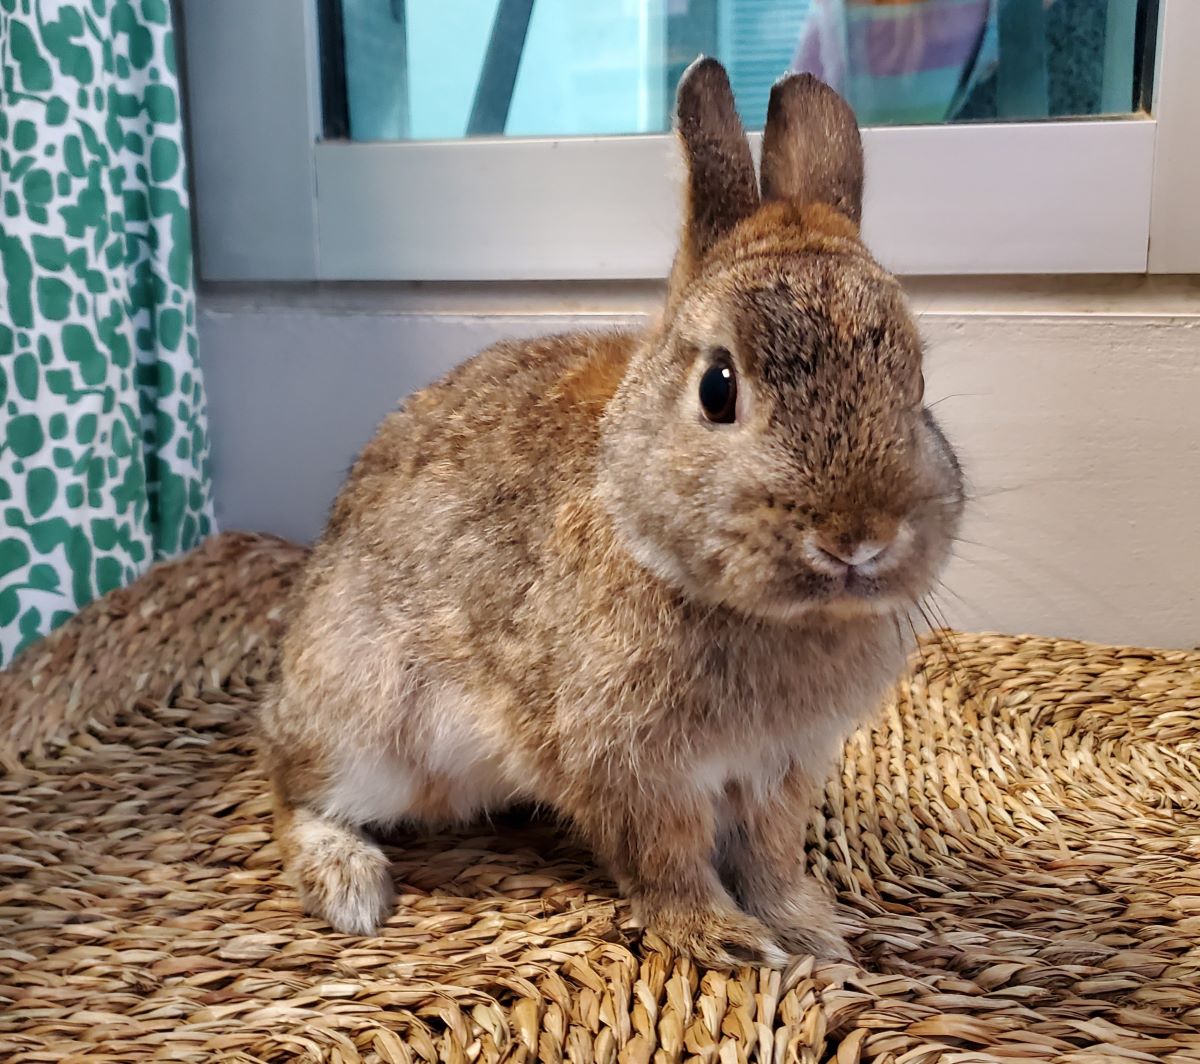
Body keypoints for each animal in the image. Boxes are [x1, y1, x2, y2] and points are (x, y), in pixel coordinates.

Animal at [260, 60, 964, 974]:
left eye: (918, 386)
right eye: (718, 388)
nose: (857, 536)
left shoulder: (780, 769)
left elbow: (770, 855)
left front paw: (811, 932)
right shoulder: (629, 768)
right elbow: (667, 858)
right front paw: (725, 941)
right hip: (367, 727)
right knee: (291, 790)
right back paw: (349, 886)